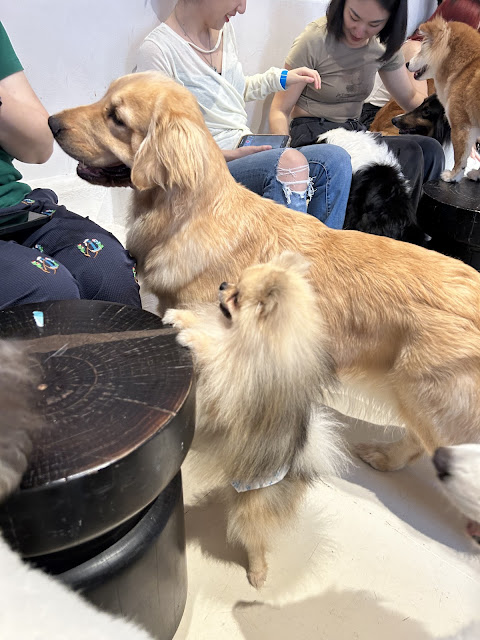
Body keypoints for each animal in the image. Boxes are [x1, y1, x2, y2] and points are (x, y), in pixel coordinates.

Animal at [163, 252, 346, 588]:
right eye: (234, 282)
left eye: (237, 298)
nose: (223, 284)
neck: (242, 340)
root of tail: (300, 465)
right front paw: (180, 317)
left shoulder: (233, 384)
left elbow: (218, 358)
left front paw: (194, 338)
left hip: (253, 509)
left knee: (256, 539)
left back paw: (257, 572)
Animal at [407, 17, 480, 182]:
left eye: (421, 49)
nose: (406, 63)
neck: (464, 68)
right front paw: (477, 174)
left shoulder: (462, 126)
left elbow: (460, 159)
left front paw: (453, 176)